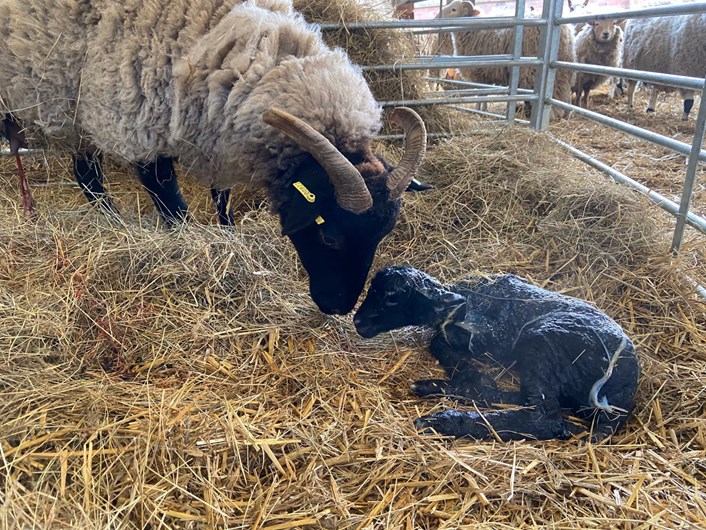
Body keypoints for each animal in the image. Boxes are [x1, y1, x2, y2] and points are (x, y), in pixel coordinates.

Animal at [0, 0, 426, 314]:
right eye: (329, 236)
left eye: (383, 235)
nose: (337, 307)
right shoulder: (136, 121)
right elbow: (170, 200)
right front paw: (188, 245)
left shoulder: (216, 134)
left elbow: (222, 197)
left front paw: (228, 233)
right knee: (88, 173)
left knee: (85, 170)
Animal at [354, 264, 636, 442]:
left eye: (392, 298)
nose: (357, 321)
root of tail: (626, 387)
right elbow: (439, 342)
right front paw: (473, 377)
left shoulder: (495, 337)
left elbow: (443, 341)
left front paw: (472, 376)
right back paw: (438, 387)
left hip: (544, 341)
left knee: (543, 419)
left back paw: (442, 420)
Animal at [434, 0, 576, 117]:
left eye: (454, 9)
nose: (436, 18)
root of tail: (566, 33)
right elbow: (483, 93)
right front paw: (483, 109)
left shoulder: (480, 73)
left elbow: (481, 93)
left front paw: (479, 110)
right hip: (564, 72)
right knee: (564, 95)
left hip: (531, 71)